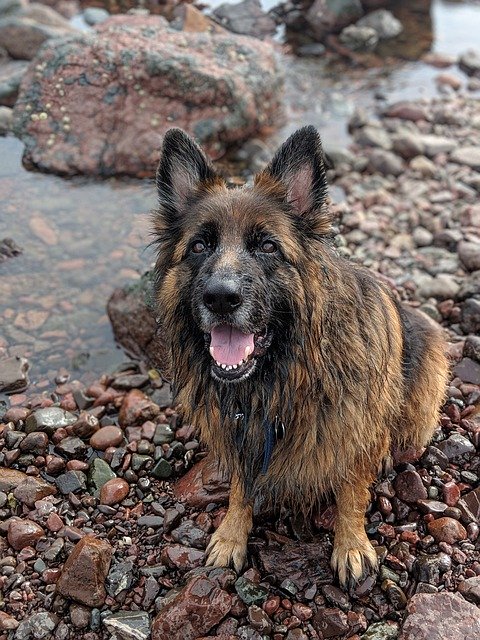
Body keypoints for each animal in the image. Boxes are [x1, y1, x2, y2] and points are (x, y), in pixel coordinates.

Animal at [152, 126, 448, 592]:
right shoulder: (243, 434)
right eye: (199, 245)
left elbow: (350, 492)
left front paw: (351, 544)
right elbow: (241, 489)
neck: (283, 376)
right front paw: (231, 534)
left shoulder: (353, 430)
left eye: (268, 246)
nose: (220, 298)